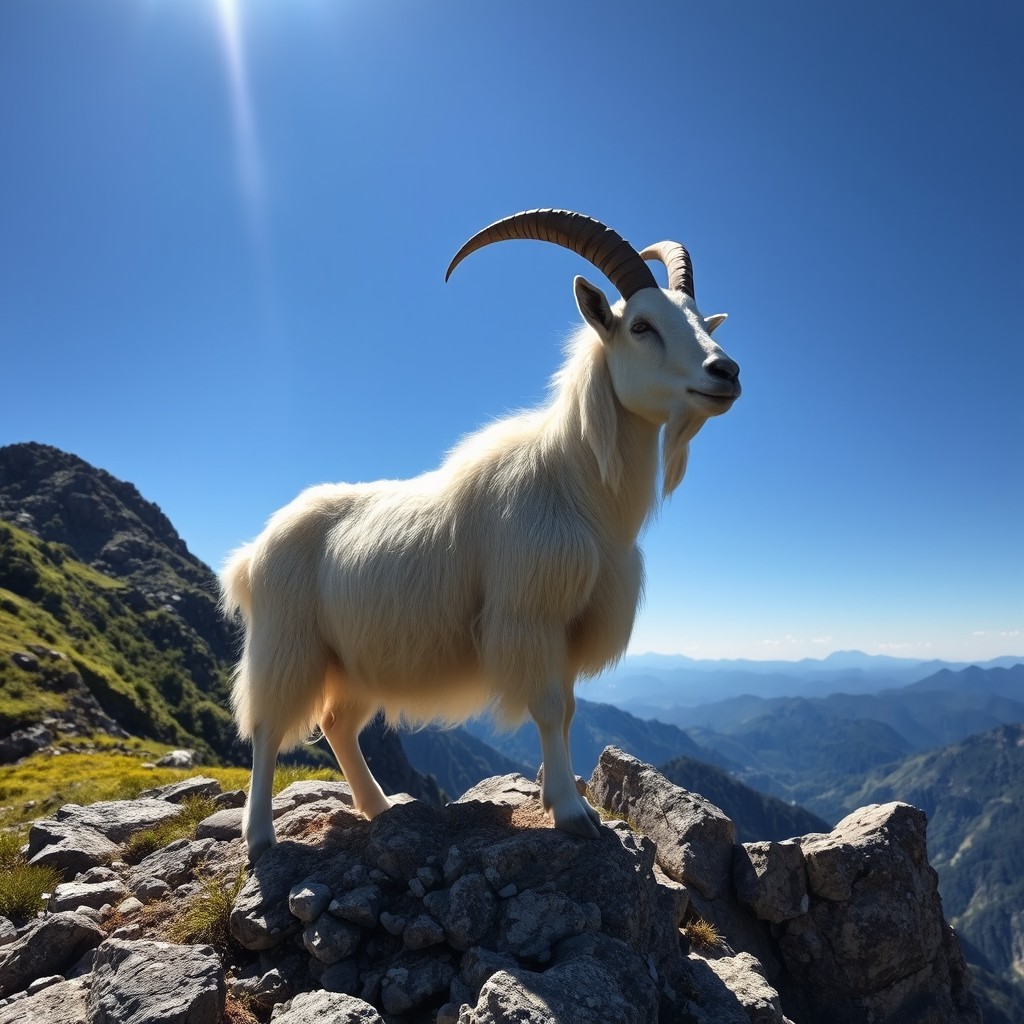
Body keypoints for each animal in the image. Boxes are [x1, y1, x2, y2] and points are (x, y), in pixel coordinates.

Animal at [221, 209, 741, 861]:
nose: (726, 373)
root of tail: (251, 555)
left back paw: (377, 807)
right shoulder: (528, 616)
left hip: (356, 659)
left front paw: (560, 799)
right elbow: (547, 708)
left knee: (337, 724)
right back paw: (261, 835)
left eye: (700, 319)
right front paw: (572, 814)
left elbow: (568, 712)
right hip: (287, 644)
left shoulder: (566, 629)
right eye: (641, 325)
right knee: (267, 727)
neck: (576, 485)